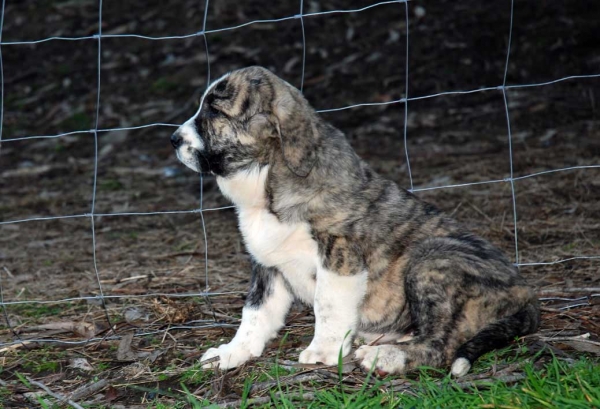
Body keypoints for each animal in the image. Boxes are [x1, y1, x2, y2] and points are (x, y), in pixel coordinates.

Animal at [169, 65, 540, 374]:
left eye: (214, 111)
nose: (174, 140)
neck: (267, 180)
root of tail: (526, 294)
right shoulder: (268, 267)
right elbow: (255, 314)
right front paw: (232, 352)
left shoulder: (340, 256)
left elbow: (328, 305)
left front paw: (323, 351)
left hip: (432, 259)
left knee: (442, 345)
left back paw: (386, 357)